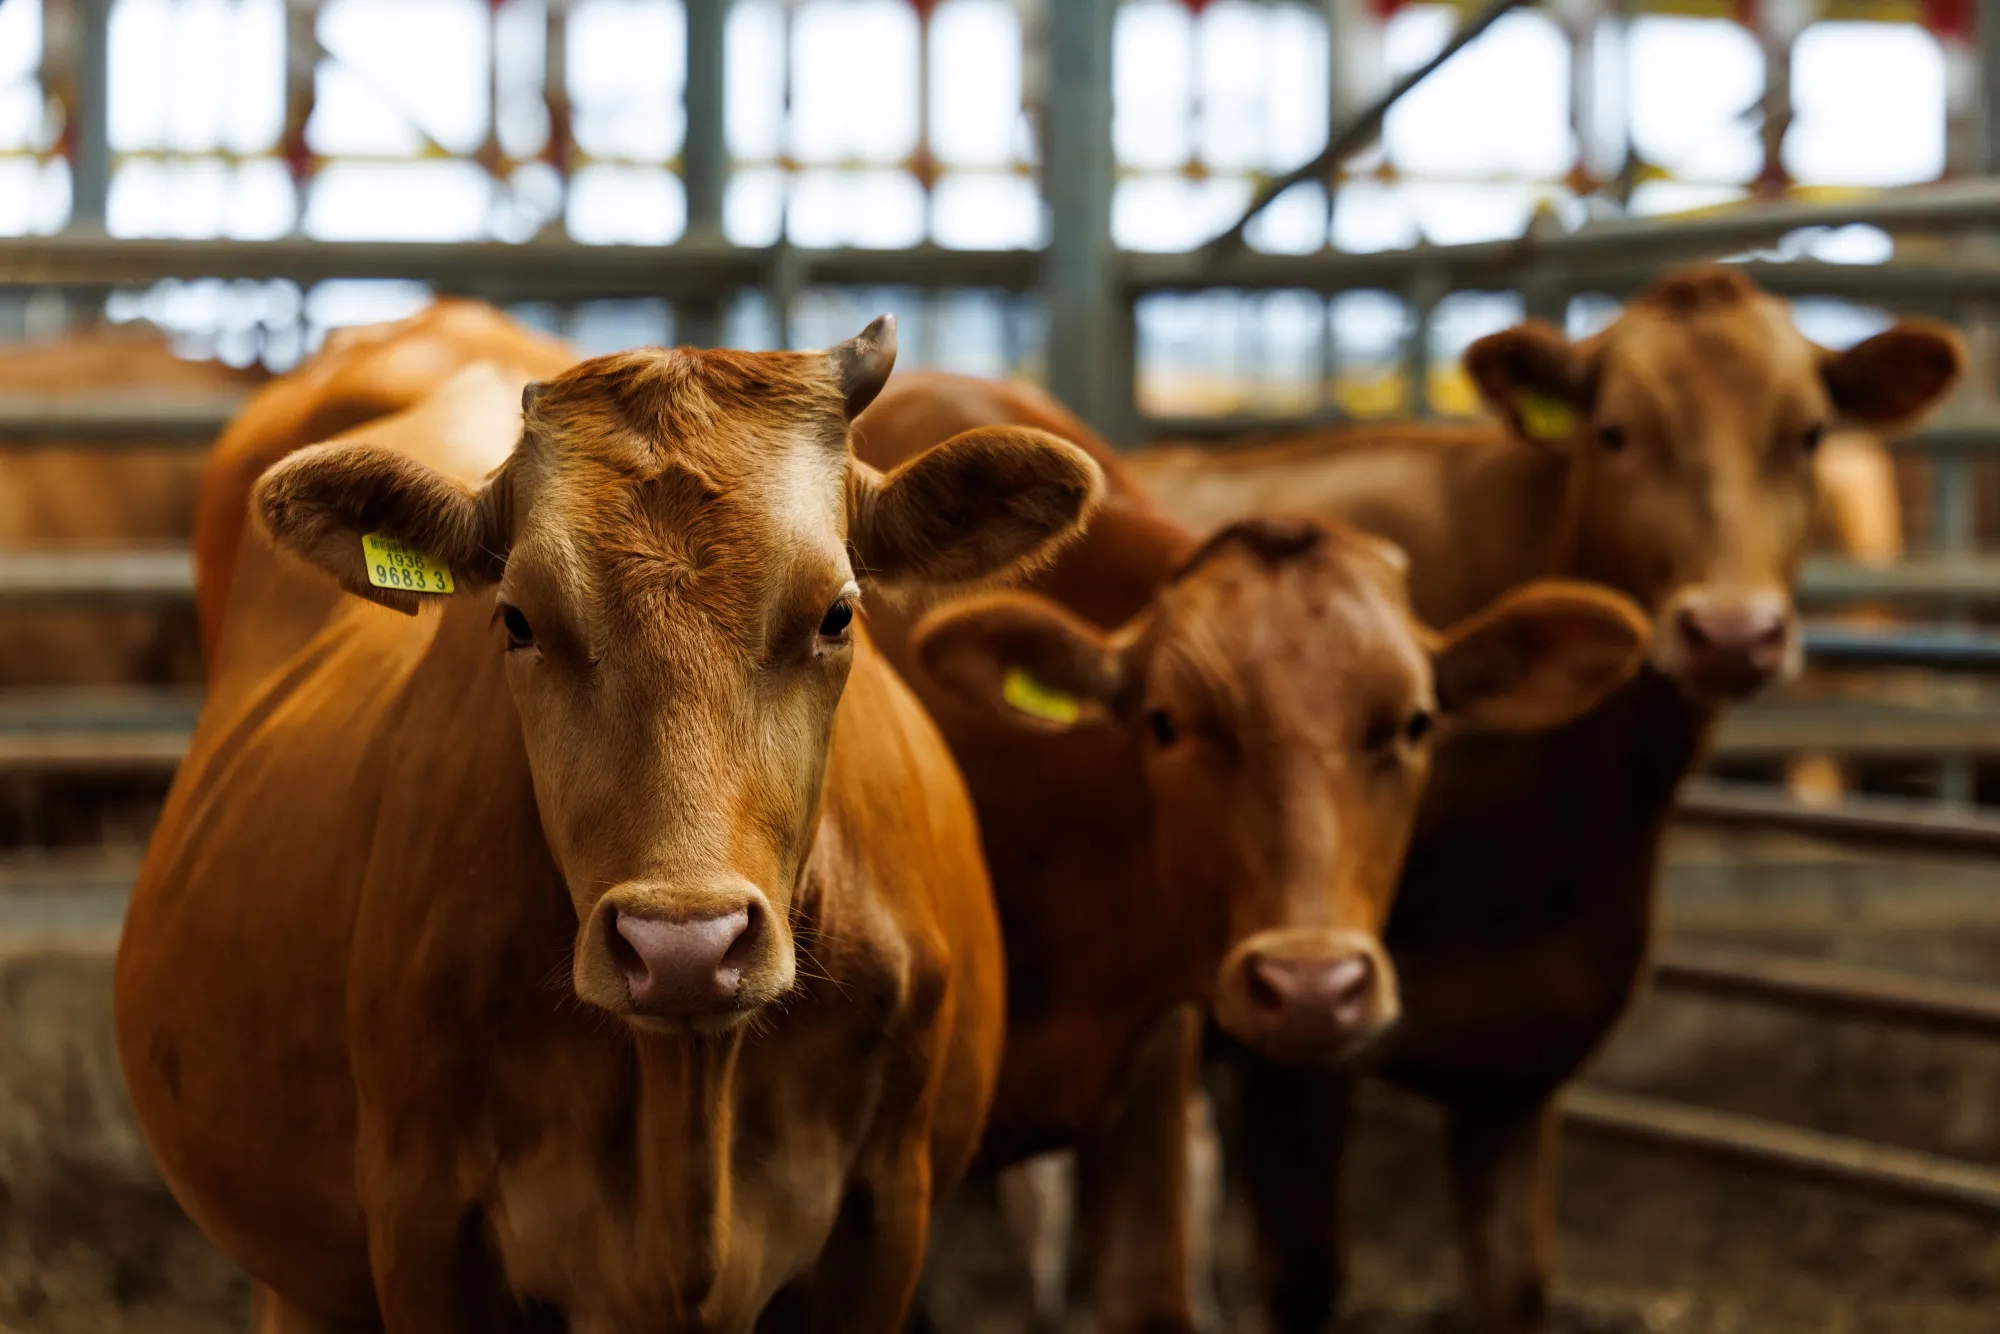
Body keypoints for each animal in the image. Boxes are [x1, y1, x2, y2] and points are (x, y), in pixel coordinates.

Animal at [1123, 266, 1965, 1333]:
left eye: (1810, 434)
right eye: (1614, 431)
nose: (1732, 632)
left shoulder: (1530, 1046)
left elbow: (1513, 1280)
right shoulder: (1290, 1040)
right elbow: (1305, 1273)